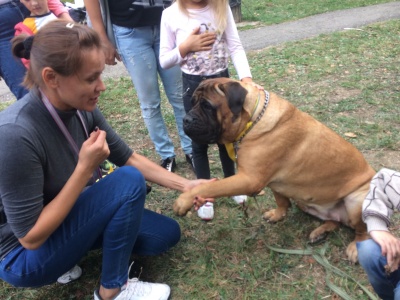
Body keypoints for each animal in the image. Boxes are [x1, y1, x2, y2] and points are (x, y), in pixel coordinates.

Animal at [174, 77, 376, 262]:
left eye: (207, 106)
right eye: (192, 102)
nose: (186, 119)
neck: (252, 121)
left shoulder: (249, 179)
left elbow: (211, 186)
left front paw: (184, 200)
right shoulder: (274, 183)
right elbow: (282, 201)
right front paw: (277, 215)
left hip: (355, 201)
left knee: (363, 231)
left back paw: (355, 248)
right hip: (306, 200)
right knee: (335, 221)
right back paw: (320, 232)